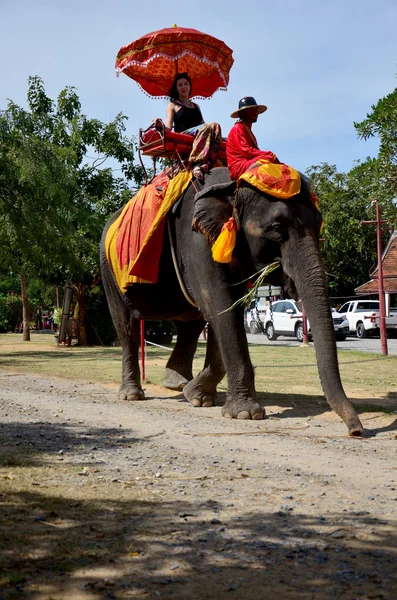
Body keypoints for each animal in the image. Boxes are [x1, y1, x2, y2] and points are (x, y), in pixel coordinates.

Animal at [100, 166, 364, 438]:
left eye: (319, 224)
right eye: (276, 227)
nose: (356, 431)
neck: (232, 185)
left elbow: (226, 308)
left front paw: (197, 396)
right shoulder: (196, 241)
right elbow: (220, 306)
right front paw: (245, 414)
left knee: (190, 324)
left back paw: (177, 384)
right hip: (109, 270)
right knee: (126, 326)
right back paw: (132, 395)